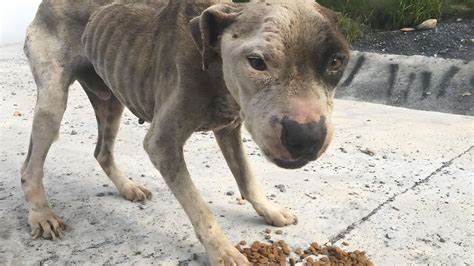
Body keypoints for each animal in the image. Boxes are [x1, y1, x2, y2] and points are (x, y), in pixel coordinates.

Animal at [21, 0, 348, 264]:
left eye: (336, 62)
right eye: (257, 62)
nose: (307, 137)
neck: (212, 61)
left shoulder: (230, 128)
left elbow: (248, 178)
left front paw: (269, 211)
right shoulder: (163, 144)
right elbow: (202, 210)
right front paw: (224, 252)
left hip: (110, 99)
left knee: (102, 151)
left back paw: (127, 188)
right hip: (52, 103)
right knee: (30, 166)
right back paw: (42, 214)